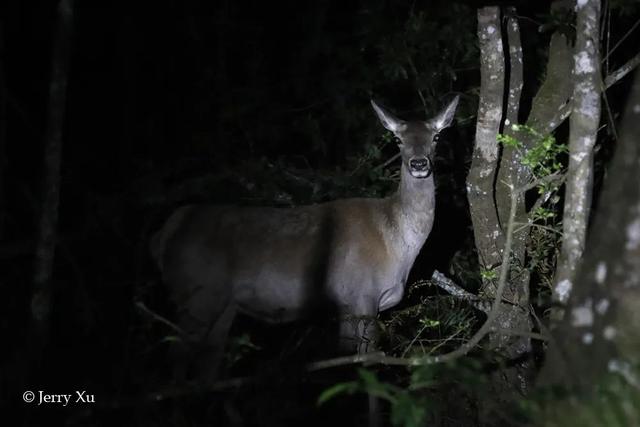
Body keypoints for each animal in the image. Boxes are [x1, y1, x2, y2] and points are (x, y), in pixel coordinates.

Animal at [150, 95, 460, 382]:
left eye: (436, 136)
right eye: (397, 139)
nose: (418, 163)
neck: (395, 243)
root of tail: (166, 231)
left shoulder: (354, 306)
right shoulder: (360, 297)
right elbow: (360, 362)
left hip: (221, 305)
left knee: (207, 363)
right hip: (196, 294)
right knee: (176, 356)